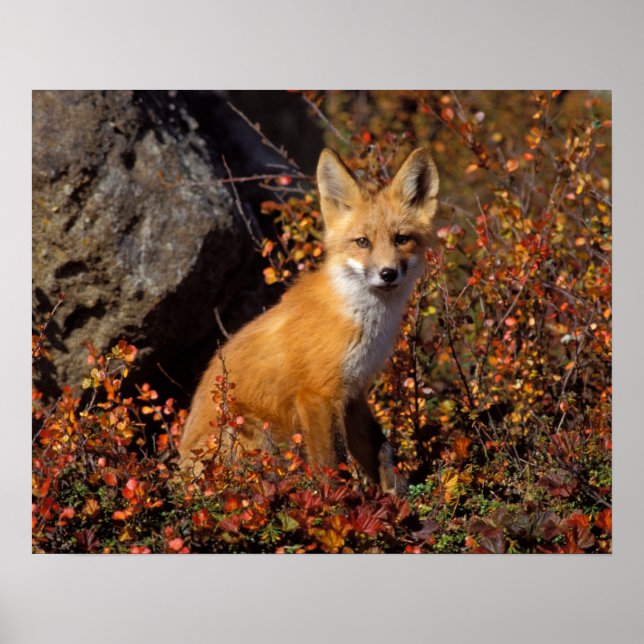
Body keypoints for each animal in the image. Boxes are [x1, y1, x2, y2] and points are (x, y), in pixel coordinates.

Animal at [179, 146, 439, 493]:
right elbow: (334, 466)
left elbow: (379, 450)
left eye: (401, 239)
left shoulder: (354, 391)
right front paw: (344, 503)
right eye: (362, 242)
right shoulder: (317, 394)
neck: (362, 320)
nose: (388, 274)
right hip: (256, 434)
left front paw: (395, 494)